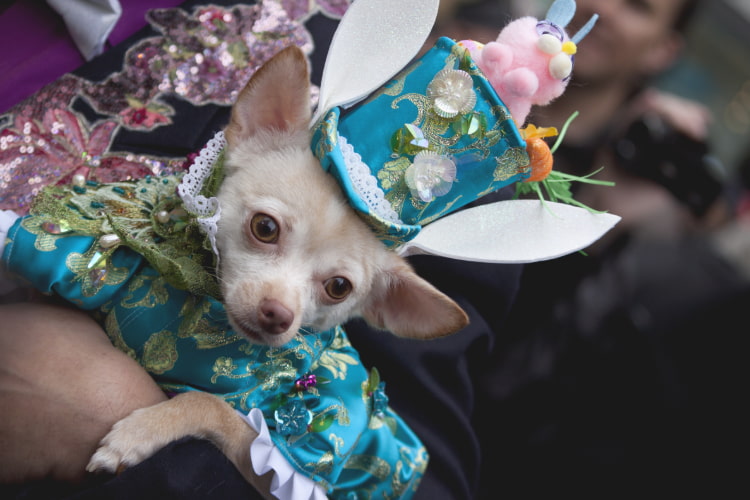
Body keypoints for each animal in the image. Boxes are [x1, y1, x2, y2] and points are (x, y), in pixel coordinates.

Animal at [83, 45, 470, 494]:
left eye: (339, 287)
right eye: (265, 228)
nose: (277, 315)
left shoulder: (280, 468)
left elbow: (207, 403)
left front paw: (140, 432)